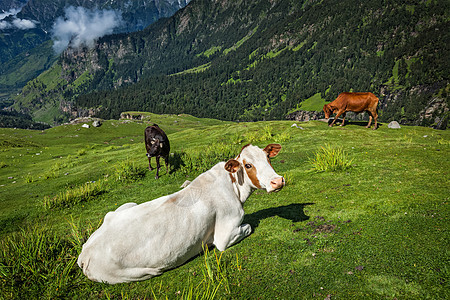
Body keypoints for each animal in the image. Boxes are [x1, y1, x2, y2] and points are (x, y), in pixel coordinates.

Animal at [75, 143, 284, 284]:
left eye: (268, 158)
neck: (235, 188)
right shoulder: (225, 235)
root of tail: (84, 253)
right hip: (137, 273)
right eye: (248, 165)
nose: (277, 181)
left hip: (124, 206)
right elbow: (249, 226)